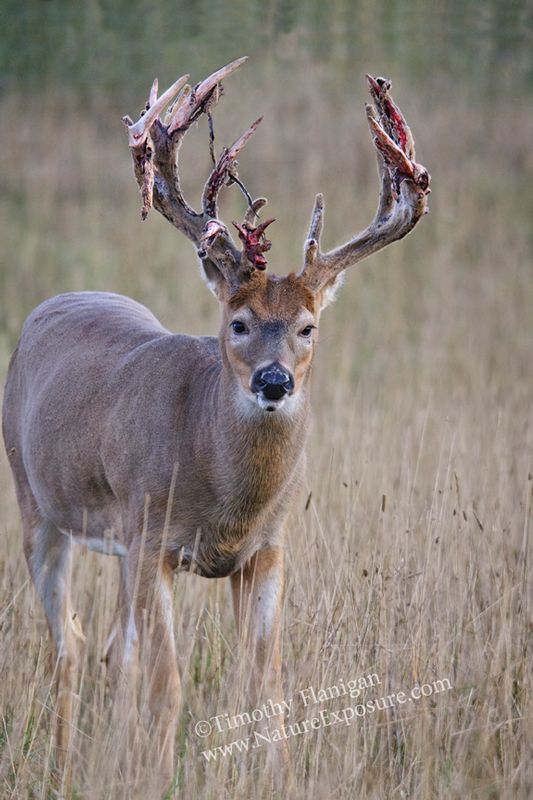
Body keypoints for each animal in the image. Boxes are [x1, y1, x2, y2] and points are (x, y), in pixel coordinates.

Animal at [2, 57, 430, 787]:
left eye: (308, 327)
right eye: (238, 323)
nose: (273, 381)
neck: (222, 494)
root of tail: (54, 302)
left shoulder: (266, 549)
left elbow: (267, 685)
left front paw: (275, 780)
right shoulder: (153, 535)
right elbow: (168, 686)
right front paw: (154, 779)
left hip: (118, 543)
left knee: (112, 649)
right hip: (41, 507)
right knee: (71, 644)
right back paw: (62, 769)